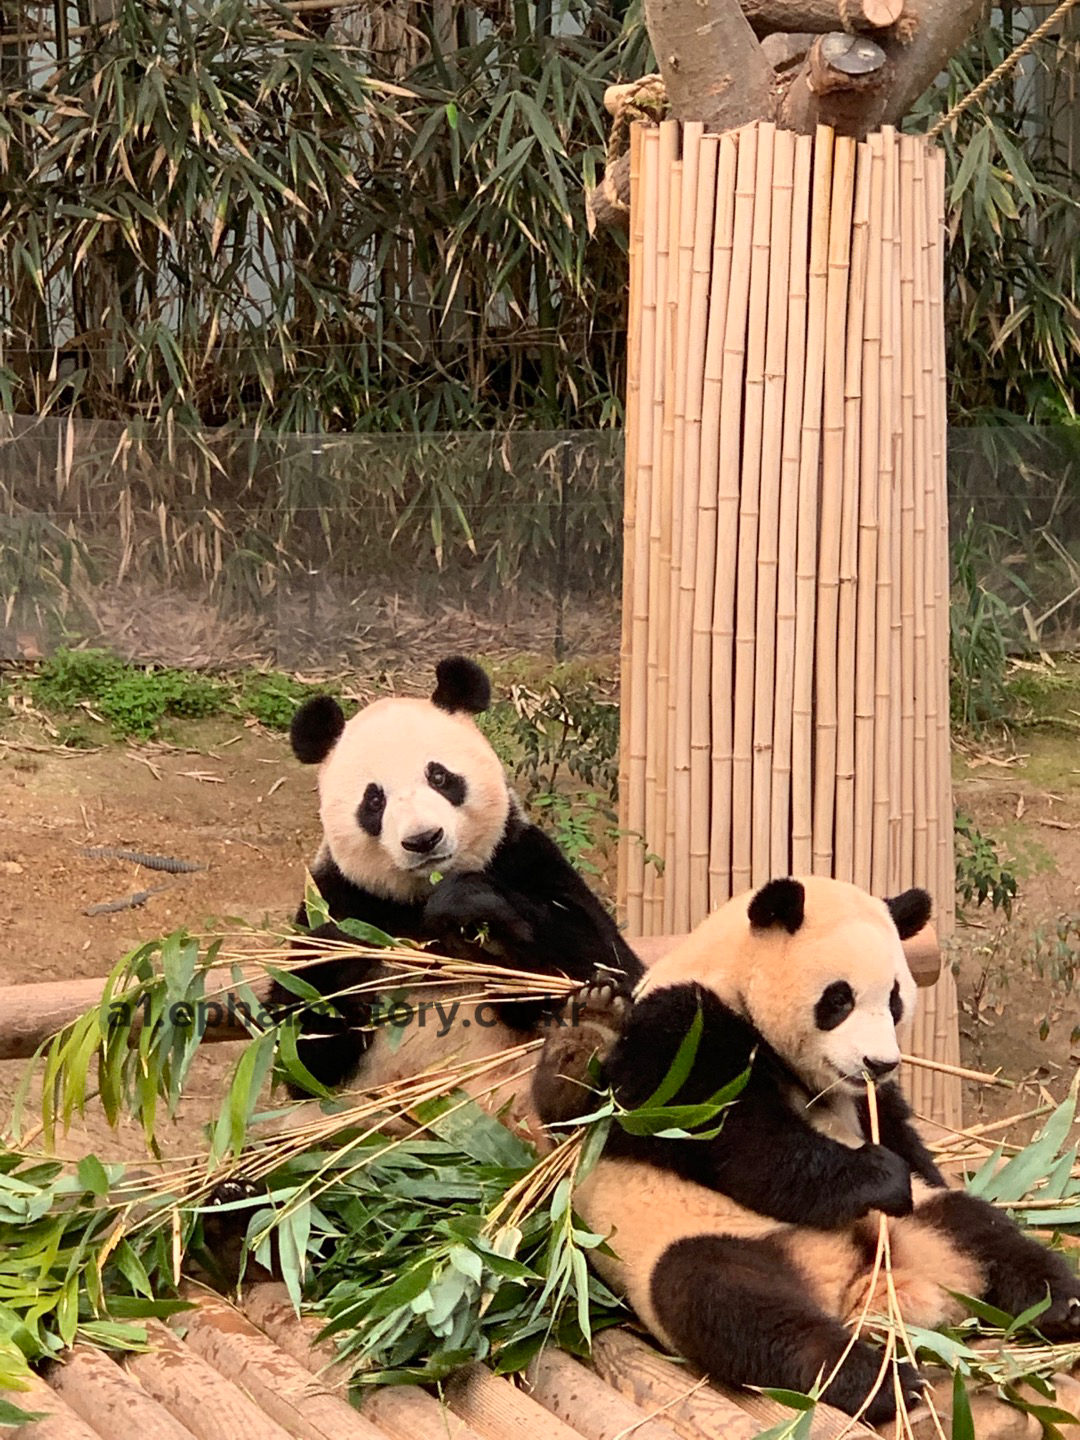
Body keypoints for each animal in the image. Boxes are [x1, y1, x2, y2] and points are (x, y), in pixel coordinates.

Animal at [269, 656, 642, 1146]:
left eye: (440, 776)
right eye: (374, 799)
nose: (423, 839)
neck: (418, 899)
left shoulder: (522, 856)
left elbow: (611, 960)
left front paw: (474, 914)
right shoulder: (336, 897)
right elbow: (302, 1056)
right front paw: (344, 954)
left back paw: (581, 1050)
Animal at [532, 875, 1080, 1428]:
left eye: (895, 1000)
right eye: (838, 999)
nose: (879, 1062)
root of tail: (849, 1285)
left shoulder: (866, 1102)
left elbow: (900, 1137)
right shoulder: (682, 1035)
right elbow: (744, 1145)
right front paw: (878, 1174)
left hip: (920, 1228)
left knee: (981, 1232)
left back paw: (1063, 1304)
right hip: (694, 1239)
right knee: (732, 1304)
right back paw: (880, 1380)